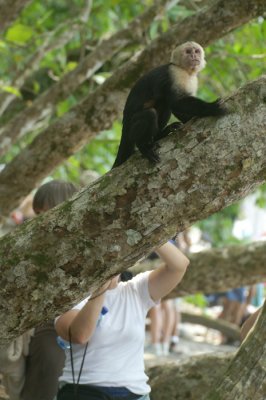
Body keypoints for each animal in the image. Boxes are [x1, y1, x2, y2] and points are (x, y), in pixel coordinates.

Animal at [112, 41, 227, 169]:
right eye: (188, 52)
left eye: (196, 51)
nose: (194, 56)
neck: (185, 70)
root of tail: (124, 124)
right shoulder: (176, 74)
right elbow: (176, 102)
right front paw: (212, 108)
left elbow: (176, 107)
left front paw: (190, 119)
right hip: (131, 127)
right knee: (149, 114)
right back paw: (144, 147)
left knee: (164, 105)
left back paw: (160, 134)